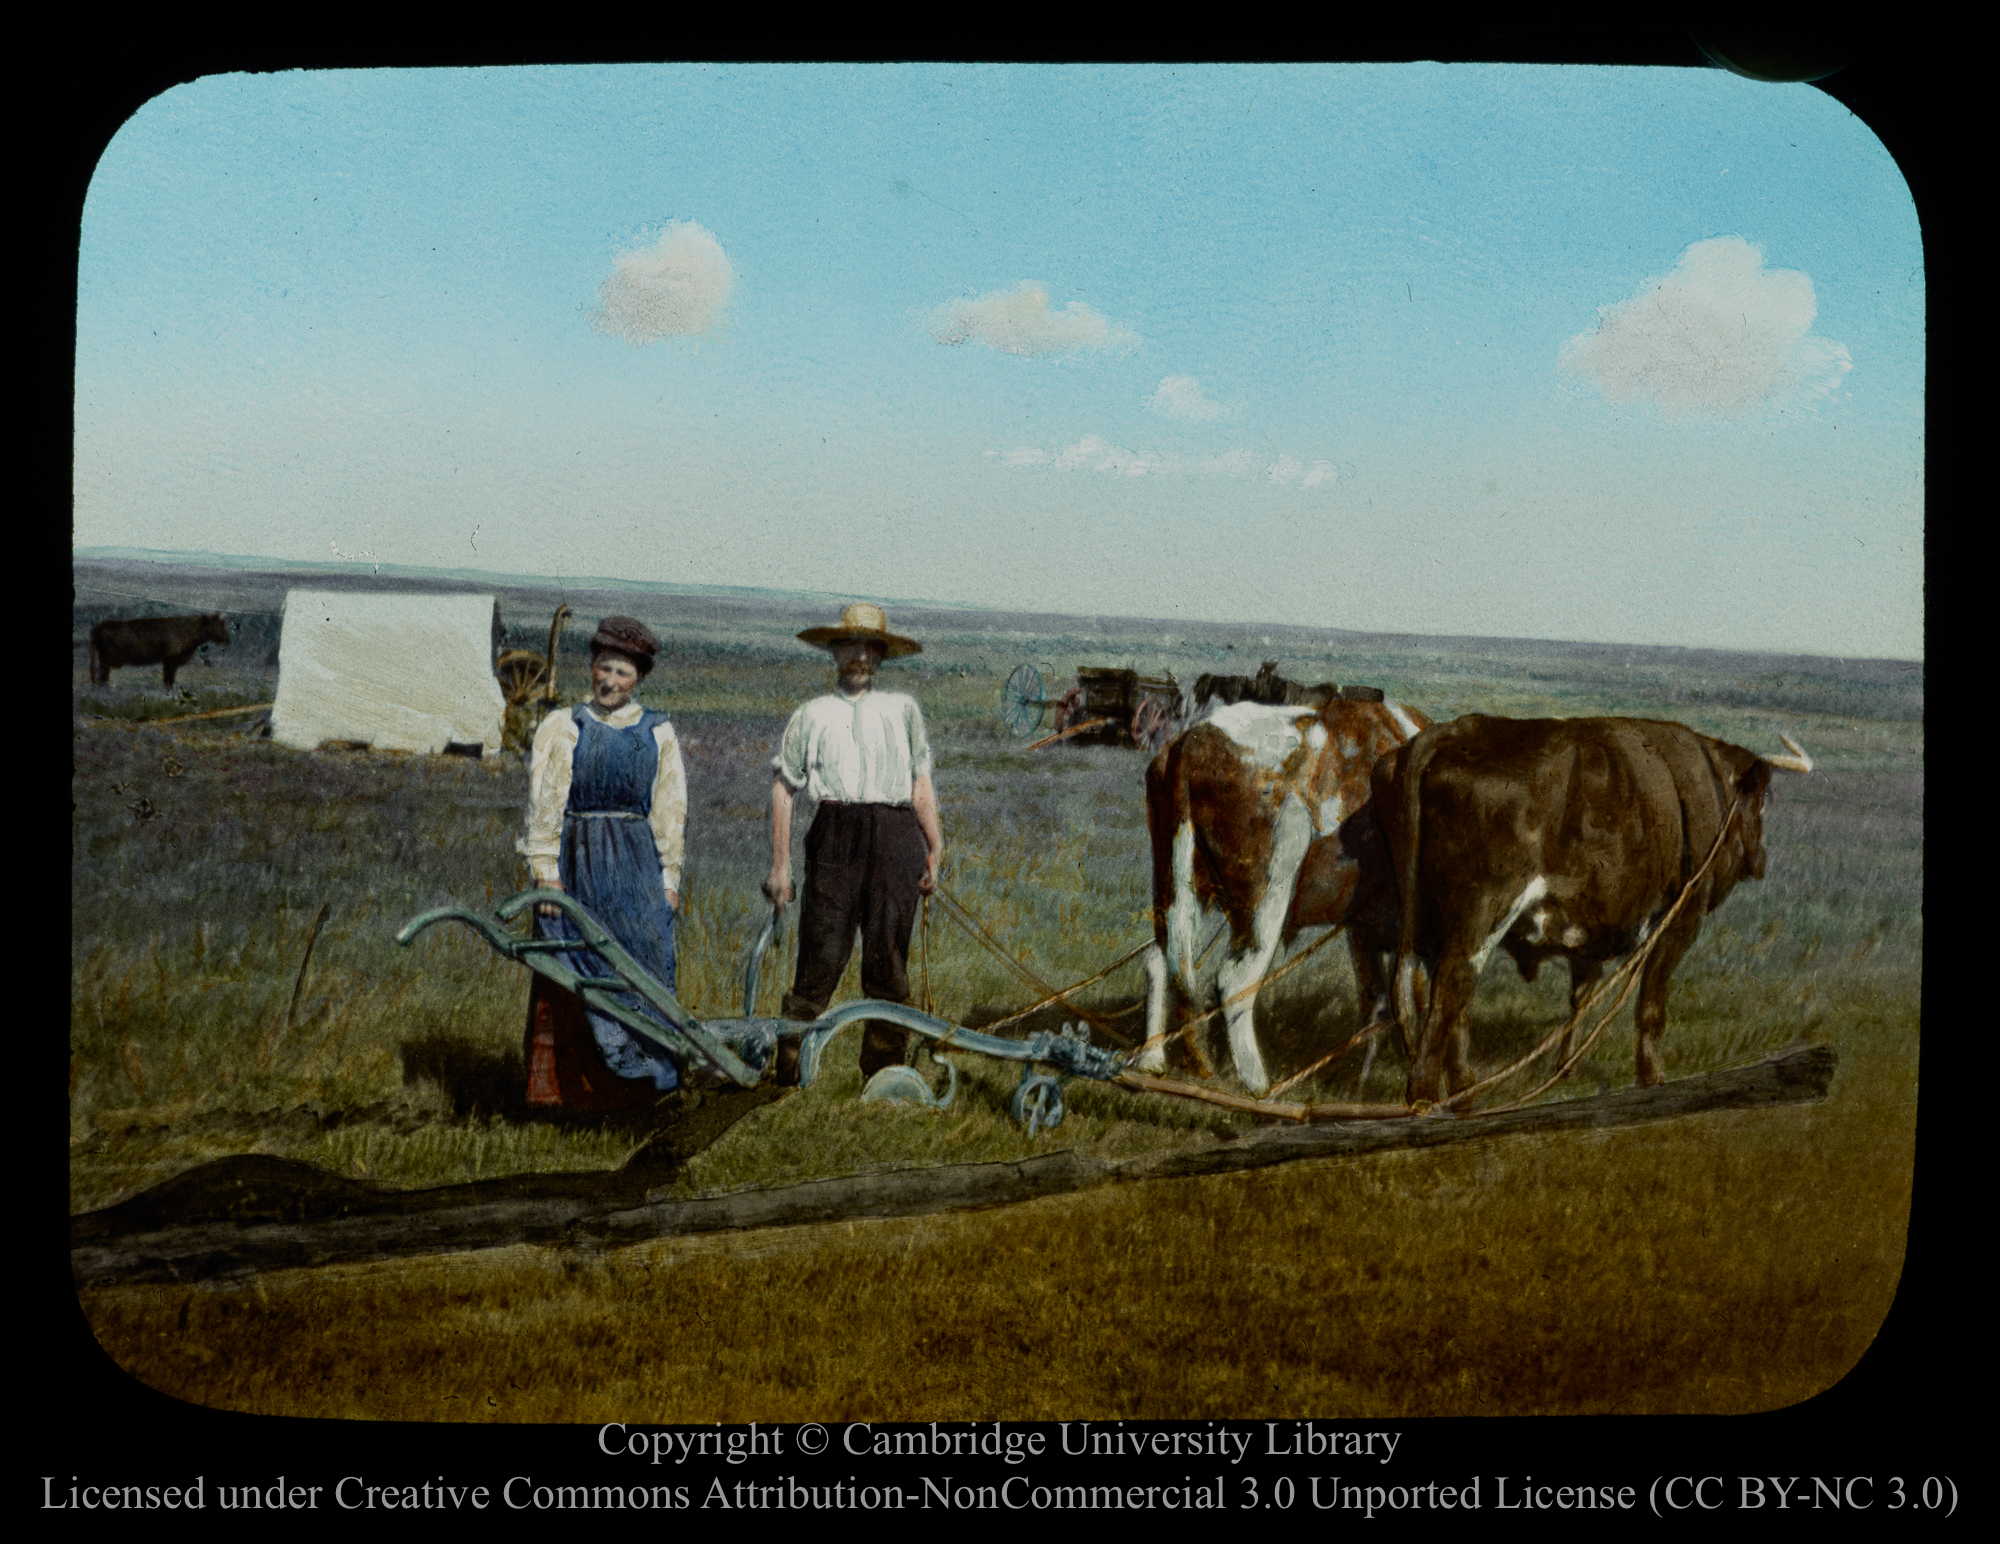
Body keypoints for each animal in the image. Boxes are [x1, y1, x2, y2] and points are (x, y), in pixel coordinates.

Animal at [87, 616, 229, 688]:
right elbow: (169, 678)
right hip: (113, 656)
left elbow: (168, 677)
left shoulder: (168, 659)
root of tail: (96, 631)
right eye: (216, 626)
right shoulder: (171, 657)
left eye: (223, 624)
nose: (227, 639)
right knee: (102, 666)